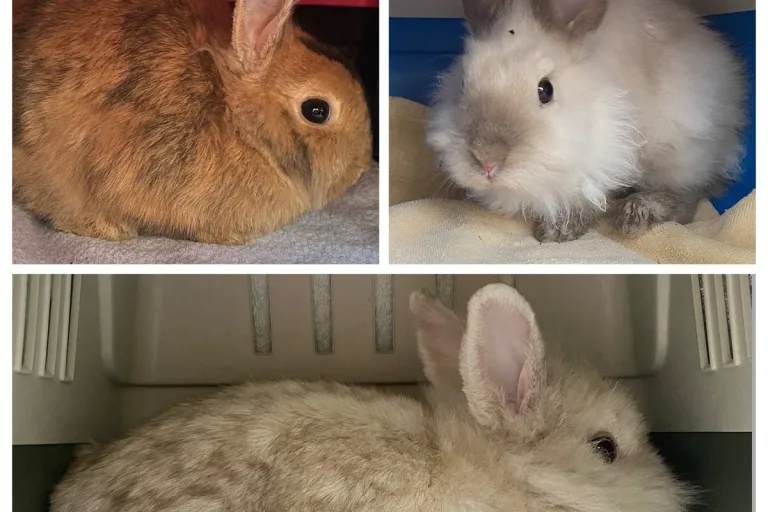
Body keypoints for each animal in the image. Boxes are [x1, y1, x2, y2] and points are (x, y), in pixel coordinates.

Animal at [427, 0, 746, 242]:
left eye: (545, 90)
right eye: (463, 83)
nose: (487, 161)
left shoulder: (601, 164)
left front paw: (558, 232)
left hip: (680, 150)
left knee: (686, 196)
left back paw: (636, 215)